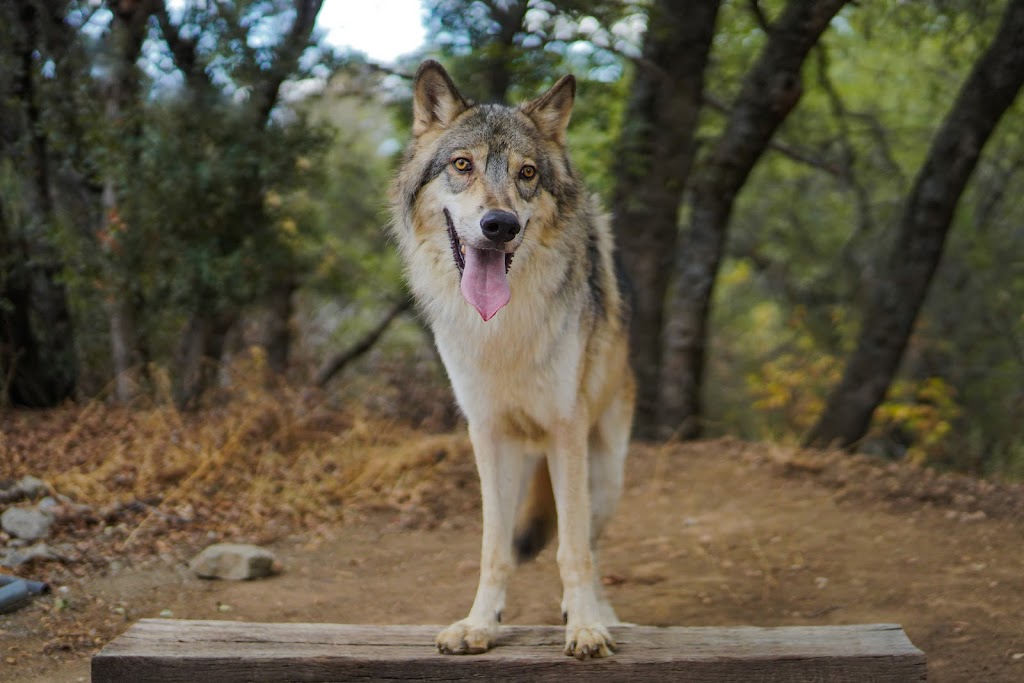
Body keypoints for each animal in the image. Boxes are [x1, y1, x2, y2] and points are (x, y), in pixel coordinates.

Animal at [389, 61, 634, 659]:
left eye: (527, 174)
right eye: (462, 165)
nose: (500, 224)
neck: (502, 331)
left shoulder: (566, 430)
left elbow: (573, 550)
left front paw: (585, 628)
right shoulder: (488, 434)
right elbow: (494, 548)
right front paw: (481, 625)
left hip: (605, 473)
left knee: (590, 544)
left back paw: (598, 613)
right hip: (526, 460)